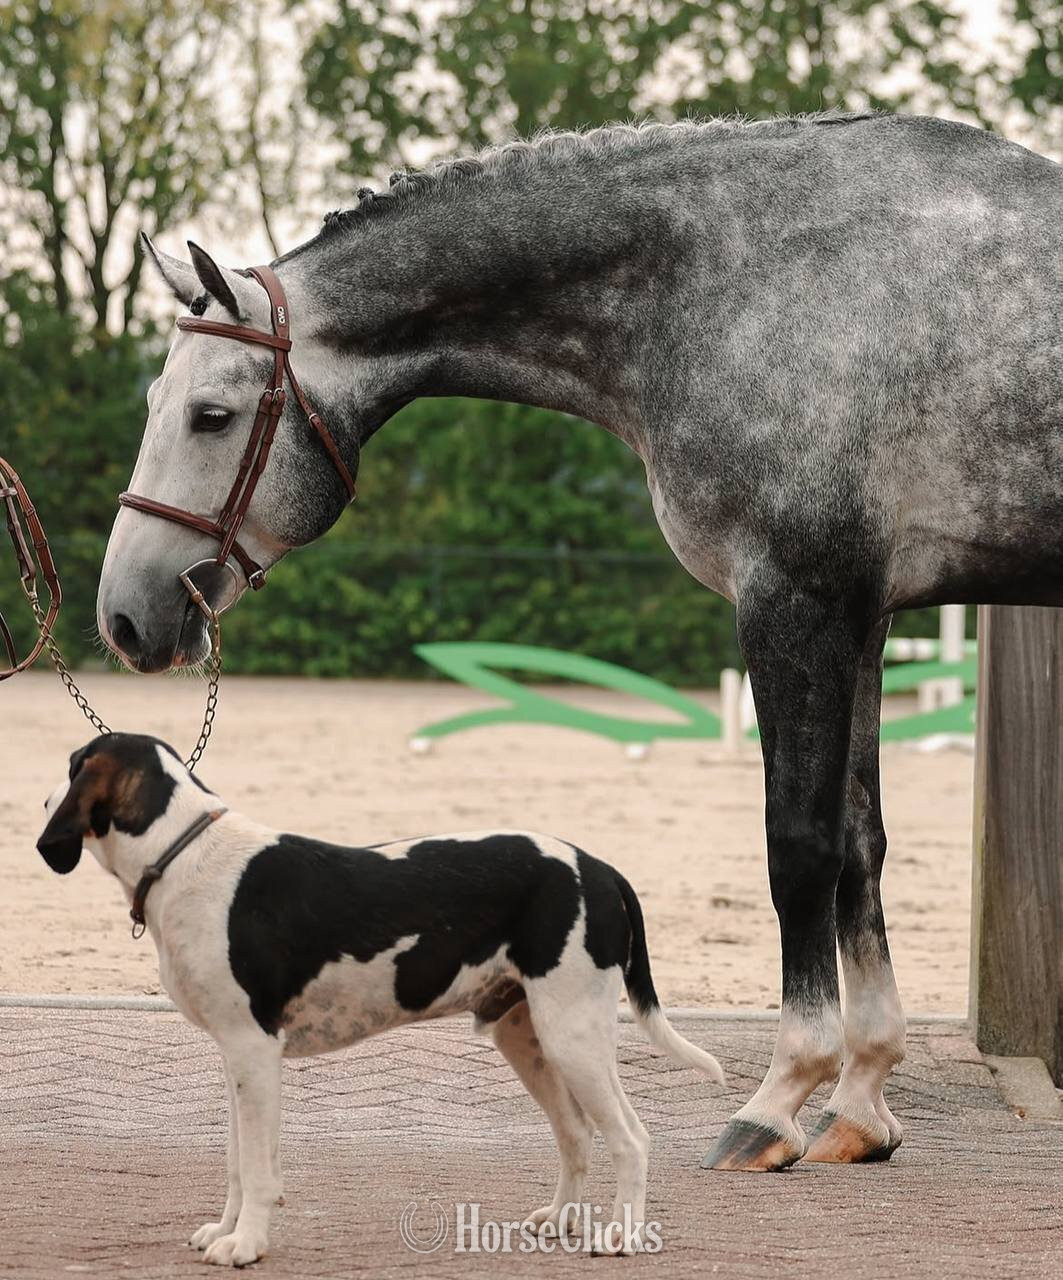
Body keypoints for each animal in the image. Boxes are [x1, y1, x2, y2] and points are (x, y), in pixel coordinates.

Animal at [96, 111, 1063, 1173]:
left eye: (212, 416)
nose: (125, 615)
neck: (743, 278)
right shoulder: (862, 618)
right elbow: (860, 844)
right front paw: (858, 1105)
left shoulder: (794, 603)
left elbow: (798, 847)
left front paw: (777, 1102)